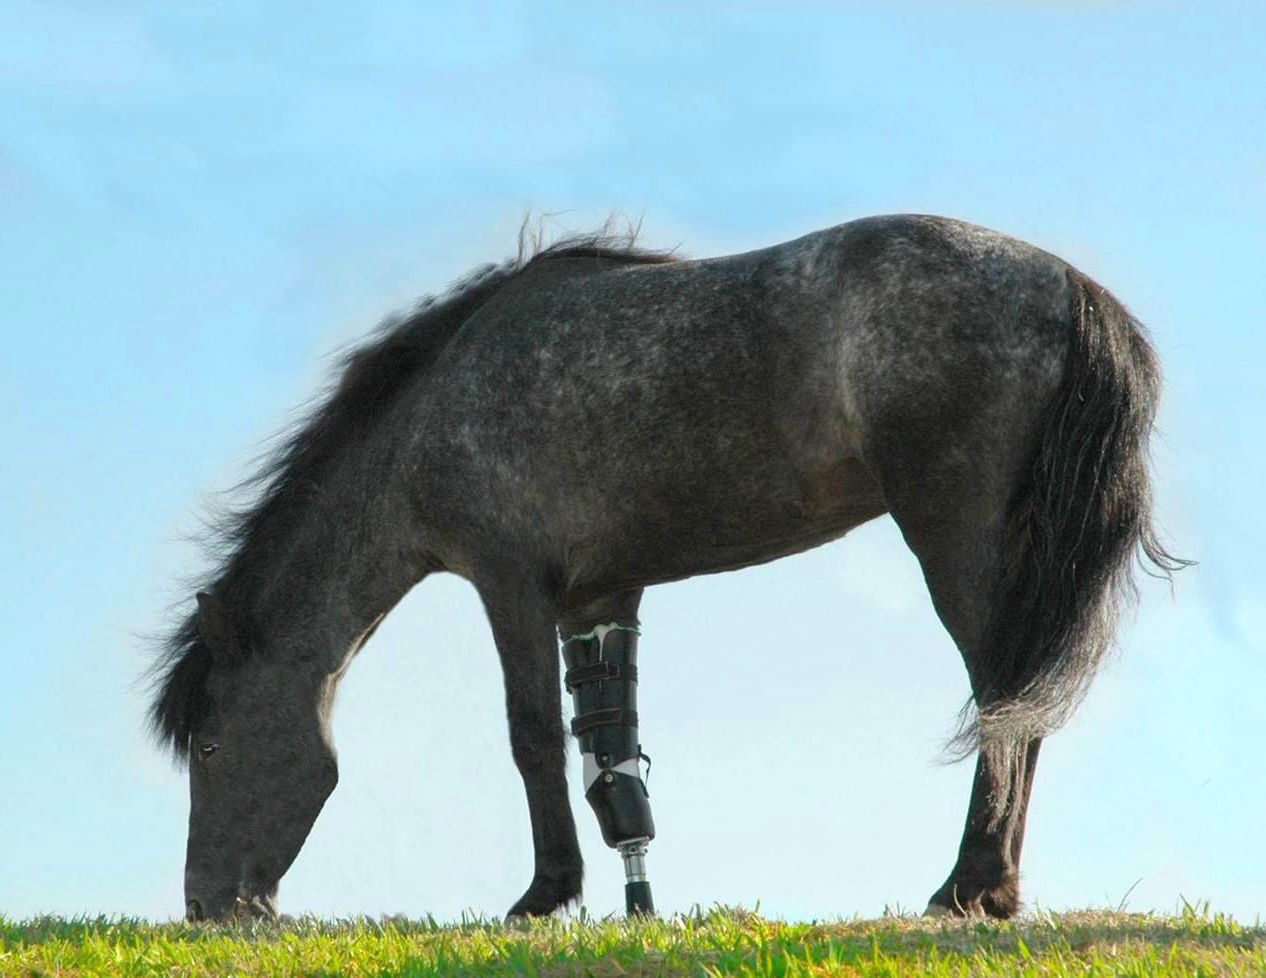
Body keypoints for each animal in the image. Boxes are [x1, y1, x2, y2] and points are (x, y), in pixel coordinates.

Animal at [151, 213, 1183, 923]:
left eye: (211, 746)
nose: (207, 906)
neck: (435, 408)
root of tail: (1071, 289)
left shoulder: (508, 580)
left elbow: (532, 737)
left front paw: (543, 895)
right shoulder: (597, 597)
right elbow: (612, 760)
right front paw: (632, 904)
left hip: (958, 544)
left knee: (1003, 699)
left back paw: (968, 887)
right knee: (1023, 706)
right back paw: (990, 890)